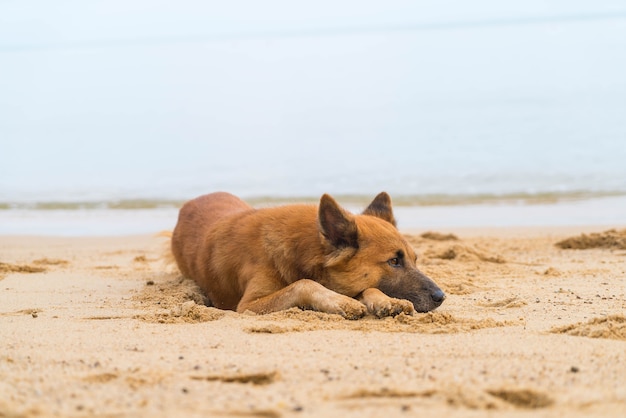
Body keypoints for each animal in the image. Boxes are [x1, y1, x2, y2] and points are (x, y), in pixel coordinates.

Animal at [171, 191, 444, 318]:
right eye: (394, 261)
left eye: (415, 260)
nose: (441, 297)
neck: (302, 250)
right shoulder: (248, 306)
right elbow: (304, 283)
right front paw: (342, 302)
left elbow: (368, 287)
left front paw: (385, 300)